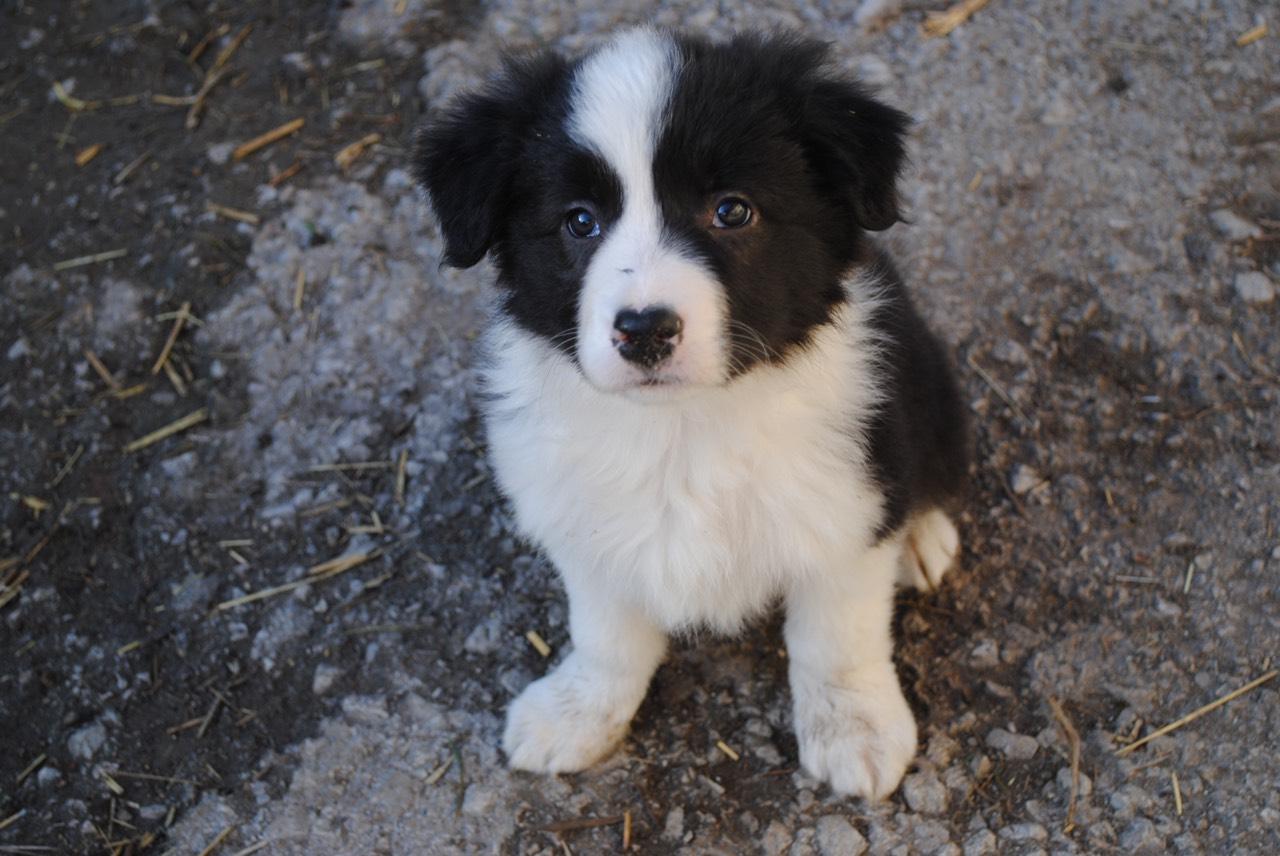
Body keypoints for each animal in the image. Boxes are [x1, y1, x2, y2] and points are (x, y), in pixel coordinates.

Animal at [414, 28, 962, 803]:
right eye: (579, 222)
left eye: (732, 210)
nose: (644, 330)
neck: (683, 427)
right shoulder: (582, 516)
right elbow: (606, 632)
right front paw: (577, 712)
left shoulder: (848, 501)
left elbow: (837, 633)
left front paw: (856, 726)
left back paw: (919, 538)